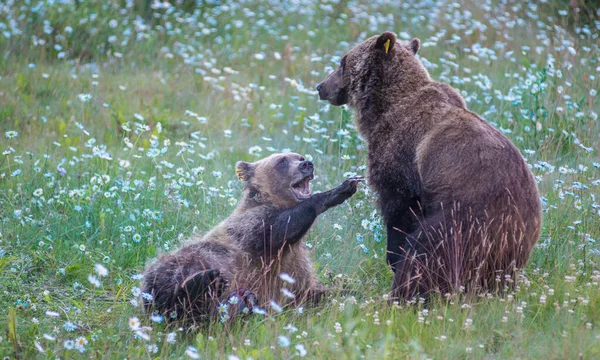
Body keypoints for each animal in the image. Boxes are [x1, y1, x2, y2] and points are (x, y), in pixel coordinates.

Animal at [318, 32, 544, 300]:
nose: (321, 87)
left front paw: (394, 257)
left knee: (427, 251)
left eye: (342, 63)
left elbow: (399, 206)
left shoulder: (402, 157)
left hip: (467, 216)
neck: (385, 107)